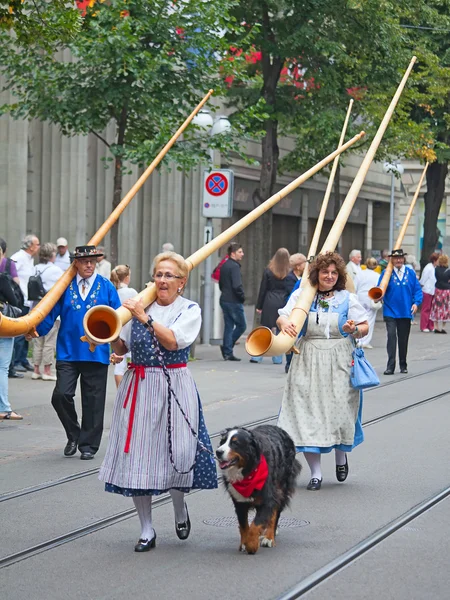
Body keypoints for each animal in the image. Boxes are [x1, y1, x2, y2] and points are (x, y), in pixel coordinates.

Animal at [216, 424, 300, 556]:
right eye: (223, 441)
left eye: (235, 443)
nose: (218, 452)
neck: (248, 471)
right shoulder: (239, 502)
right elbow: (244, 526)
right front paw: (245, 543)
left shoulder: (268, 499)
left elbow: (255, 525)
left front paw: (251, 545)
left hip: (280, 489)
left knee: (275, 514)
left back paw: (269, 537)